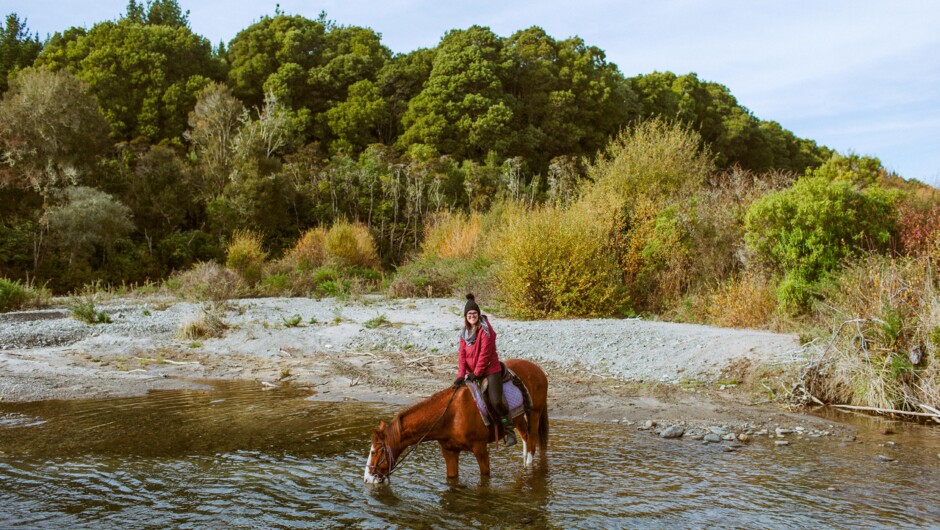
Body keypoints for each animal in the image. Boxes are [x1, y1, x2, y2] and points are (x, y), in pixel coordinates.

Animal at [364, 356, 548, 480]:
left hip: (534, 413)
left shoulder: (480, 450)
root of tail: (538, 370)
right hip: (519, 419)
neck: (450, 416)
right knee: (525, 439)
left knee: (531, 443)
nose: (367, 478)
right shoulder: (449, 452)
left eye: (374, 451)